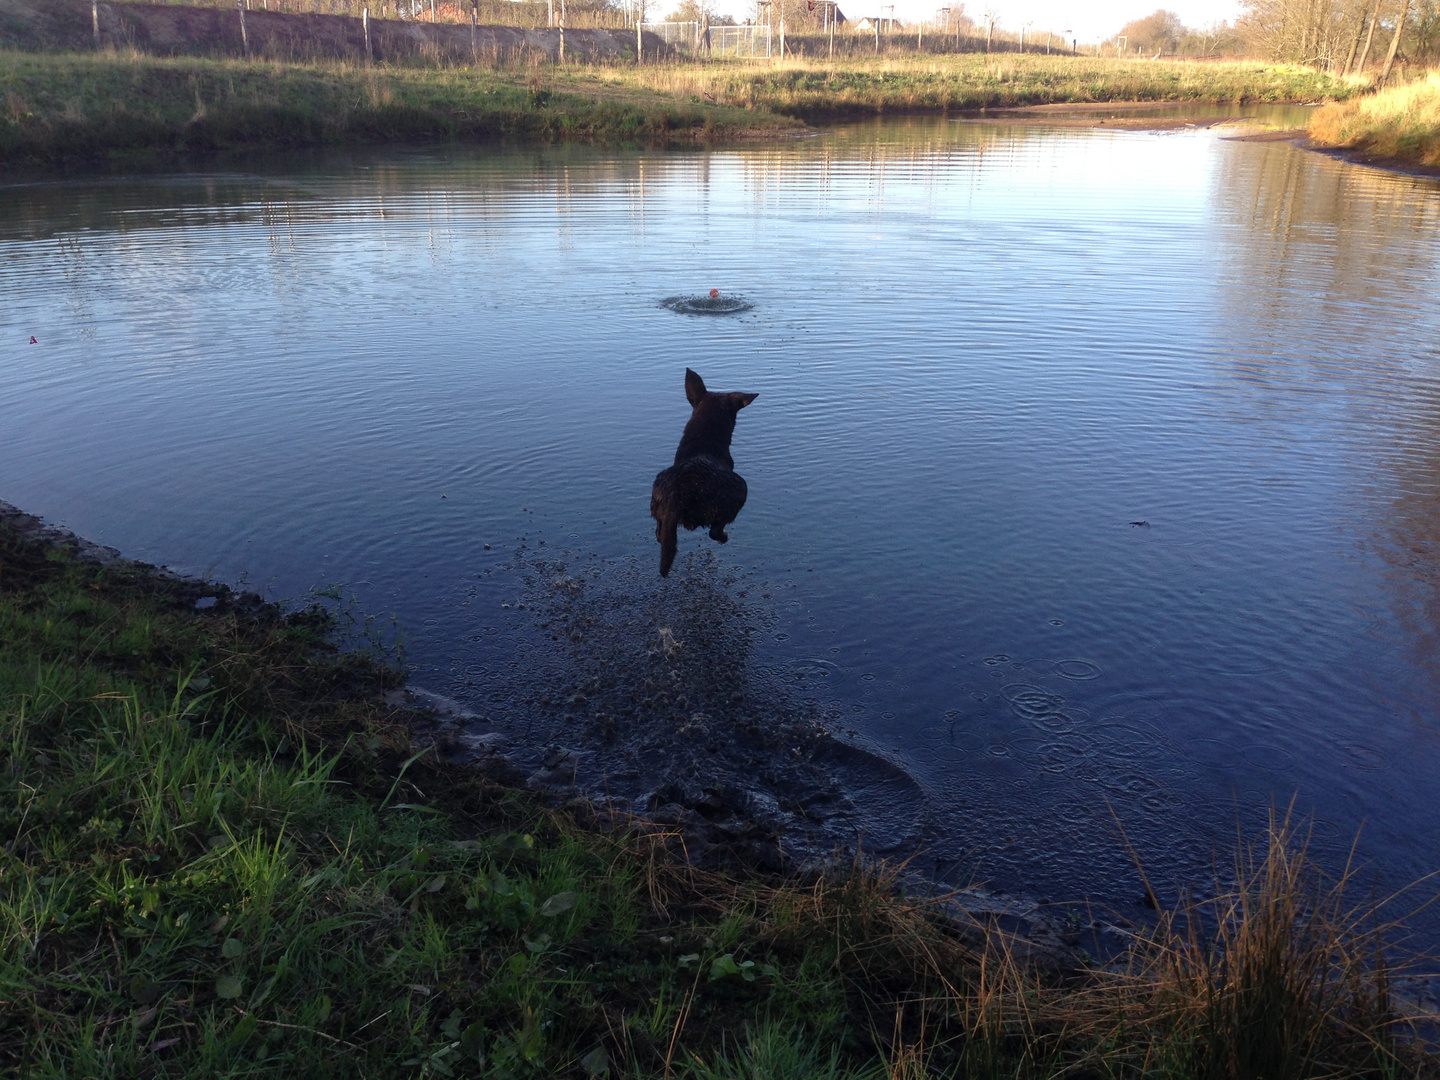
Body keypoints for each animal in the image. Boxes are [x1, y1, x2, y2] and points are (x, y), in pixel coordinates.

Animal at [653, 371, 760, 578]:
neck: (703, 441)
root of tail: (678, 496)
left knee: (660, 535)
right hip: (737, 492)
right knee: (715, 530)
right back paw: (723, 537)